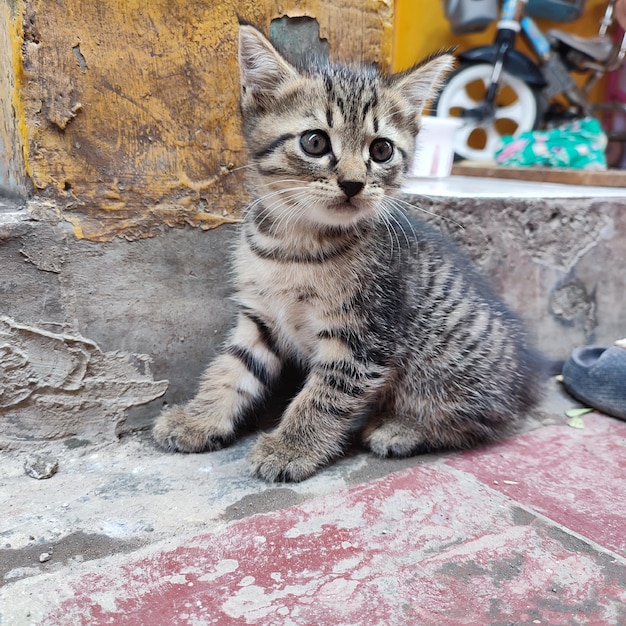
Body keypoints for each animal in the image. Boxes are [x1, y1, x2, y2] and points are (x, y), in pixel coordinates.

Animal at [152, 24, 540, 480]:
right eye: (315, 142)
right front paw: (199, 418)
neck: (296, 242)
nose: (353, 183)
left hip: (442, 365)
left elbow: (324, 395)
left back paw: (402, 428)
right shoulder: (260, 317)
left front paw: (290, 447)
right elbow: (232, 368)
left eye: (381, 150)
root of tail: (526, 380)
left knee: (484, 420)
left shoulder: (364, 337)